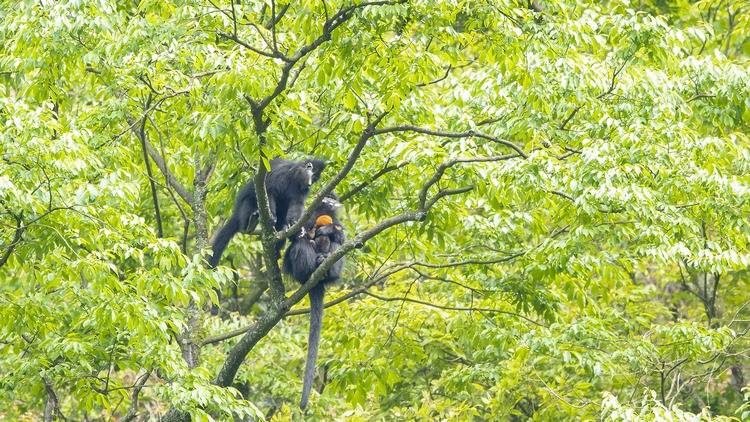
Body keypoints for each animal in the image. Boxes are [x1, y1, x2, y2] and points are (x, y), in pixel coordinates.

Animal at [284, 194, 348, 408]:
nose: (331, 202)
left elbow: (342, 237)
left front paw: (329, 230)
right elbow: (294, 236)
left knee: (337, 246)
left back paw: (326, 265)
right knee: (301, 245)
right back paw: (310, 268)